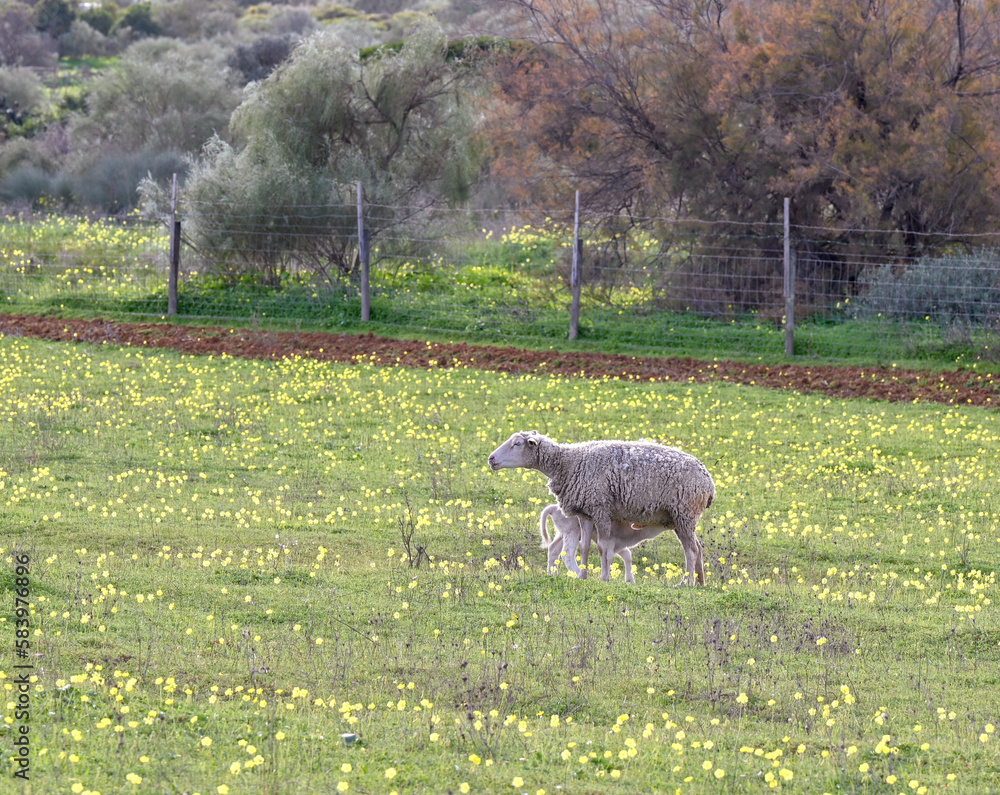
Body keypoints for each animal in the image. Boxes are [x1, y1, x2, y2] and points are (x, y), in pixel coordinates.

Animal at [540, 503, 668, 584]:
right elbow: (608, 557)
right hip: (572, 532)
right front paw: (605, 577)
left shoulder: (619, 545)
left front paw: (630, 580)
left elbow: (627, 556)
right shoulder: (610, 542)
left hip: (562, 533)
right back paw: (578, 573)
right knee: (567, 554)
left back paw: (552, 574)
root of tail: (554, 508)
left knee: (553, 549)